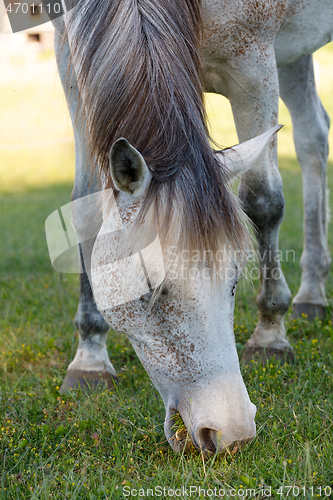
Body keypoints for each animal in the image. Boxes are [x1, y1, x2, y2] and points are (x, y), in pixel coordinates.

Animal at [51, 0, 330, 454]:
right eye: (150, 289)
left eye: (235, 279)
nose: (232, 432)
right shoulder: (71, 66)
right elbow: (86, 211)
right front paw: (90, 358)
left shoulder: (252, 65)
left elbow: (263, 201)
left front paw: (270, 336)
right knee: (313, 136)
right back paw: (312, 293)